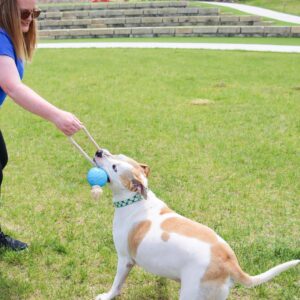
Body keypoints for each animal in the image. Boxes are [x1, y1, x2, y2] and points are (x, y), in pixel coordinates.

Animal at [93, 149, 298, 300]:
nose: (99, 151)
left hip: (192, 293)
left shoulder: (125, 259)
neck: (134, 200)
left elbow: (117, 284)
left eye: (114, 167)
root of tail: (230, 263)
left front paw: (107, 296)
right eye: (116, 154)